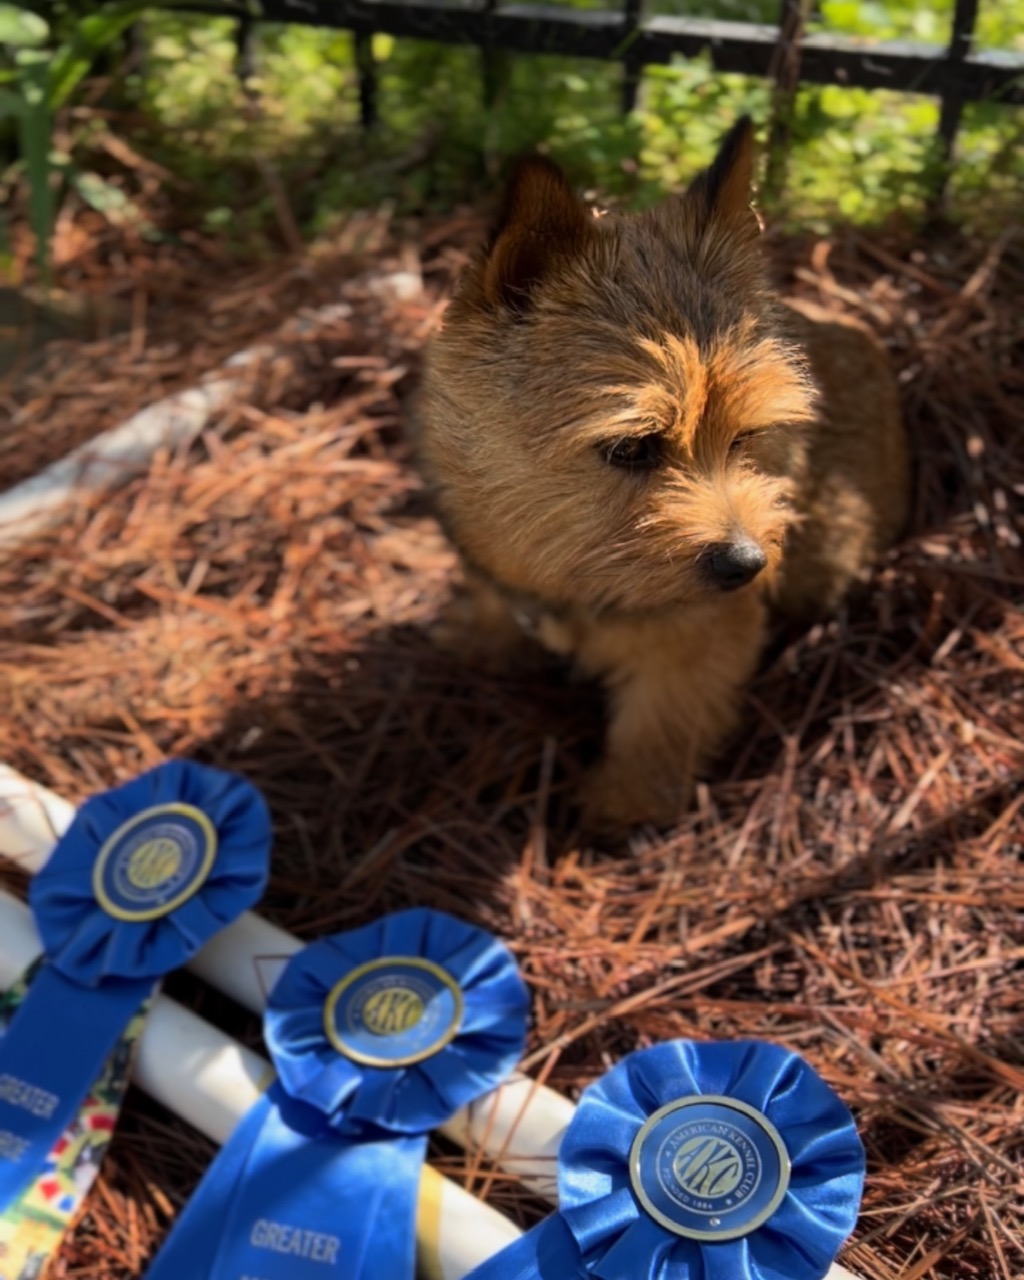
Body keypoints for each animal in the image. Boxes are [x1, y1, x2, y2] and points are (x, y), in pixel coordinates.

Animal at [415, 117, 910, 831]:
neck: (567, 573)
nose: (747, 563)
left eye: (746, 438)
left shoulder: (703, 641)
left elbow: (664, 719)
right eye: (632, 448)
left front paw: (625, 802)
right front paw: (479, 636)